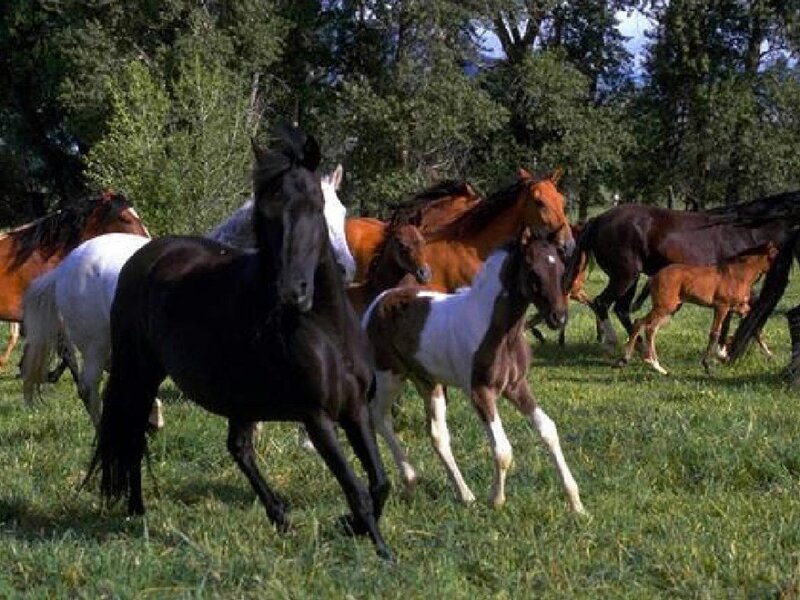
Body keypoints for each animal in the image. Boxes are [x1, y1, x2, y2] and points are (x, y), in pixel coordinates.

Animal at [85, 125, 393, 560]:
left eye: (320, 207)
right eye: (265, 214)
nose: (293, 292)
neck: (326, 328)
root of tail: (145, 255)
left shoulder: (355, 409)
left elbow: (379, 483)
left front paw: (351, 527)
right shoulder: (316, 417)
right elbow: (357, 489)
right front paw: (380, 548)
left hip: (237, 396)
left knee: (238, 448)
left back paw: (280, 517)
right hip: (140, 372)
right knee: (133, 430)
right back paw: (136, 510)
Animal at [363, 235, 585, 513]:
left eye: (561, 270)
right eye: (532, 271)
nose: (559, 317)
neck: (500, 332)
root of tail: (378, 302)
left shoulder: (517, 386)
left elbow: (548, 430)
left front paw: (576, 504)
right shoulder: (480, 392)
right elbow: (503, 450)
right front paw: (496, 500)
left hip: (428, 382)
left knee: (437, 435)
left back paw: (465, 494)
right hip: (388, 376)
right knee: (379, 417)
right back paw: (410, 480)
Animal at [563, 192, 800, 350]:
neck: (747, 233)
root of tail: (597, 220)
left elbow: (744, 310)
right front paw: (726, 350)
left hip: (630, 278)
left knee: (621, 309)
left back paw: (638, 345)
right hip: (625, 275)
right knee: (601, 303)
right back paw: (615, 342)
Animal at [617, 244, 778, 375]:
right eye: (775, 254)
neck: (738, 274)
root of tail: (653, 277)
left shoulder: (740, 308)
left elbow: (754, 326)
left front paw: (769, 355)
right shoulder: (722, 306)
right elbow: (715, 333)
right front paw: (707, 366)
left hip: (671, 309)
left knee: (650, 328)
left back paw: (657, 366)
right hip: (664, 307)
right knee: (641, 323)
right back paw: (627, 360)